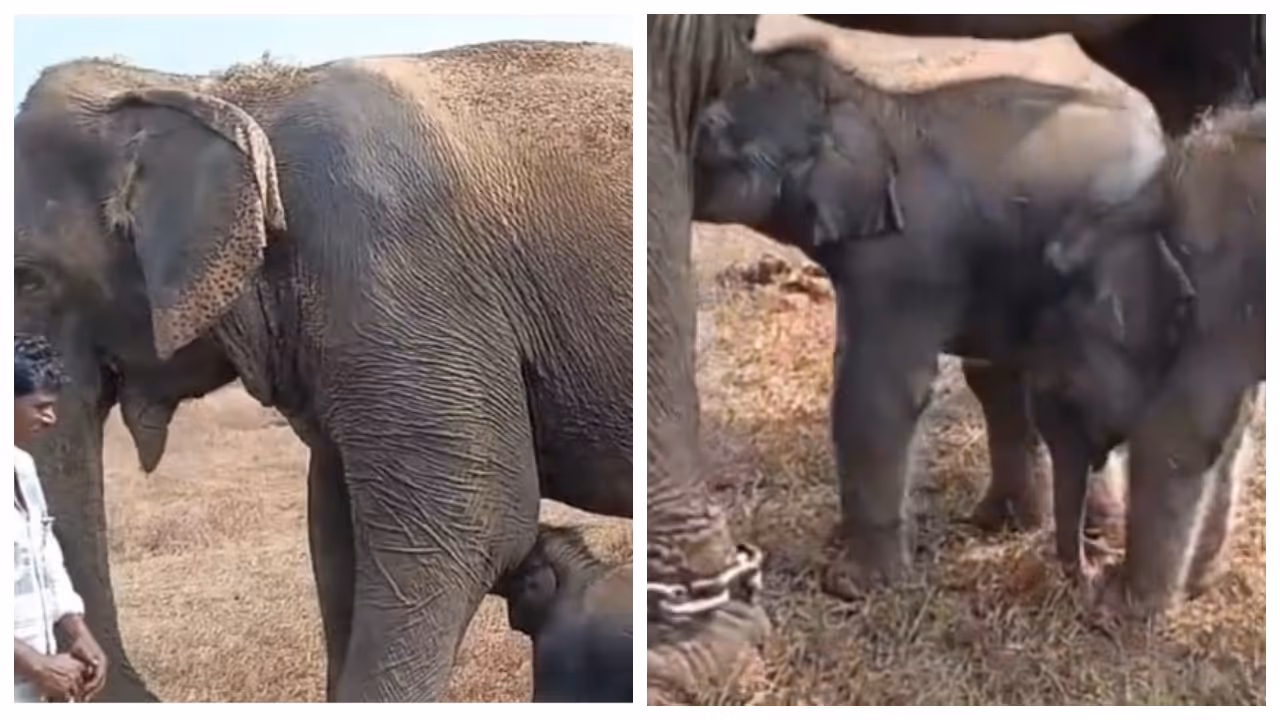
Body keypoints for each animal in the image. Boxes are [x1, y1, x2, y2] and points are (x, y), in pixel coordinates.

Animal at [1029, 101, 1264, 616]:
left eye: (1068, 395)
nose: (1094, 562)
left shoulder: (1220, 297)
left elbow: (1176, 436)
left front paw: (1129, 606)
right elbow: (1227, 435)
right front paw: (1198, 582)